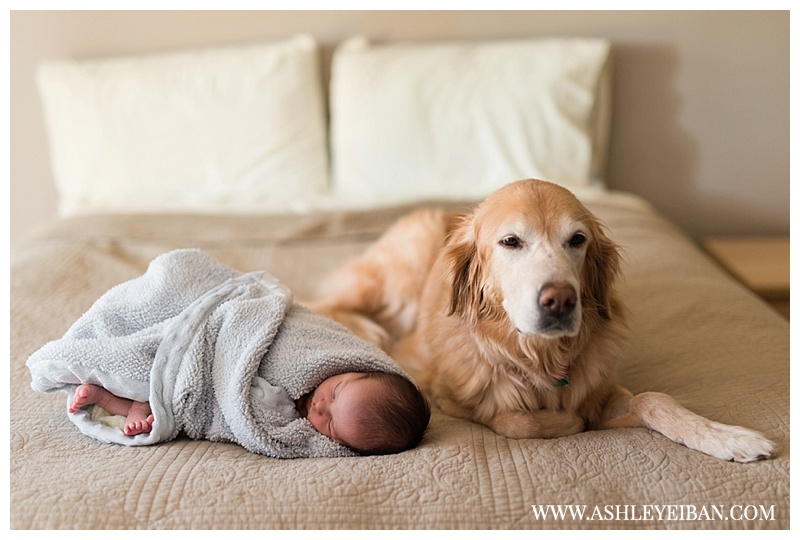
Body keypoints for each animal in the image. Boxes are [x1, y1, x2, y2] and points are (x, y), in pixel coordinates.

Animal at [312, 179, 776, 462]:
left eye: (578, 239)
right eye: (510, 241)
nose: (560, 301)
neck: (537, 357)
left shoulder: (602, 389)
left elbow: (655, 399)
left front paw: (725, 436)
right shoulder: (450, 396)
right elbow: (516, 419)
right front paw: (568, 422)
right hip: (400, 270)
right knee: (327, 301)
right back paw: (368, 330)